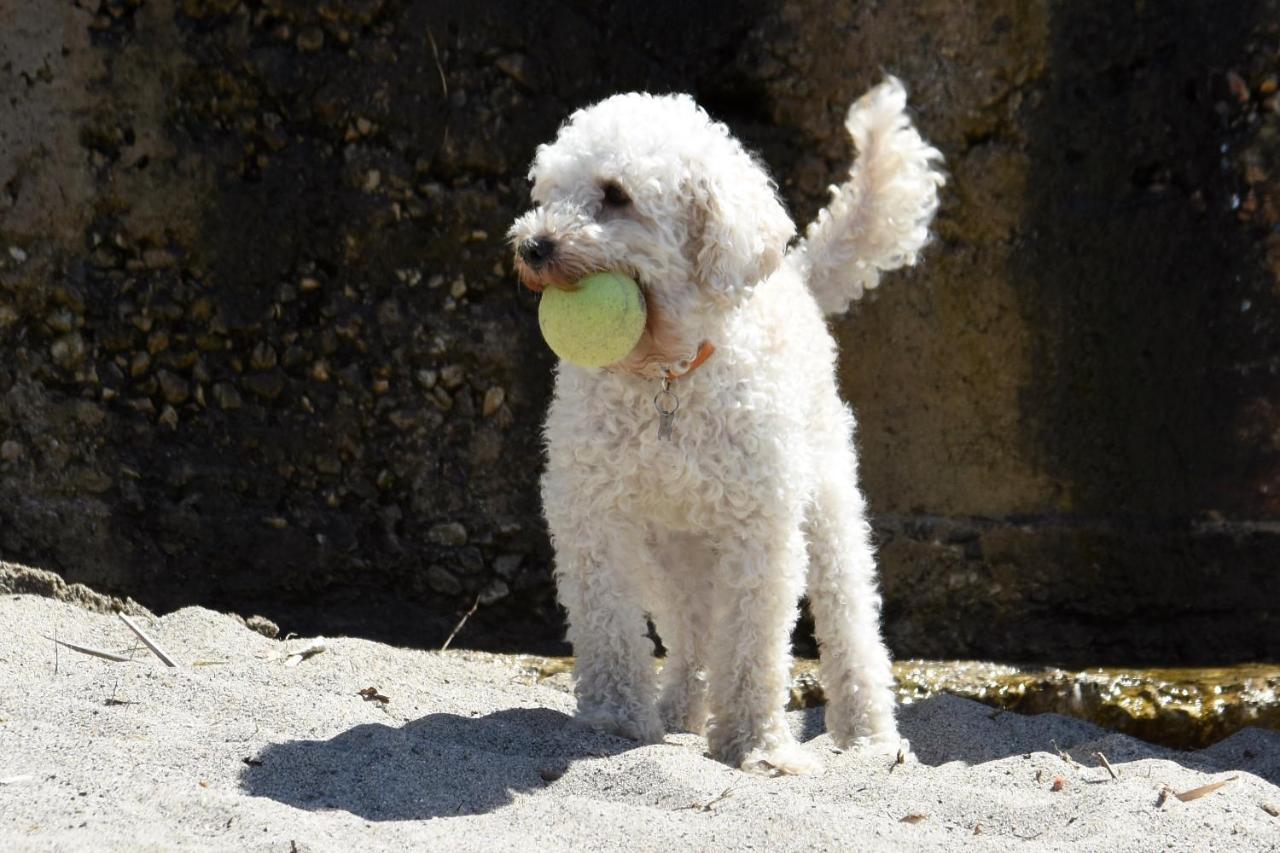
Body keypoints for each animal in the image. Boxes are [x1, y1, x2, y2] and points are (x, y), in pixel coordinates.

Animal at [506, 78, 942, 768]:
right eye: (546, 194)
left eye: (616, 194)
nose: (533, 246)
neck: (666, 376)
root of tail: (794, 275)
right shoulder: (593, 512)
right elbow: (608, 622)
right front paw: (615, 719)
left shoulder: (759, 526)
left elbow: (752, 642)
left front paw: (753, 743)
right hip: (672, 548)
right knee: (690, 631)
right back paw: (679, 711)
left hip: (826, 501)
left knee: (849, 618)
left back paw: (869, 738)